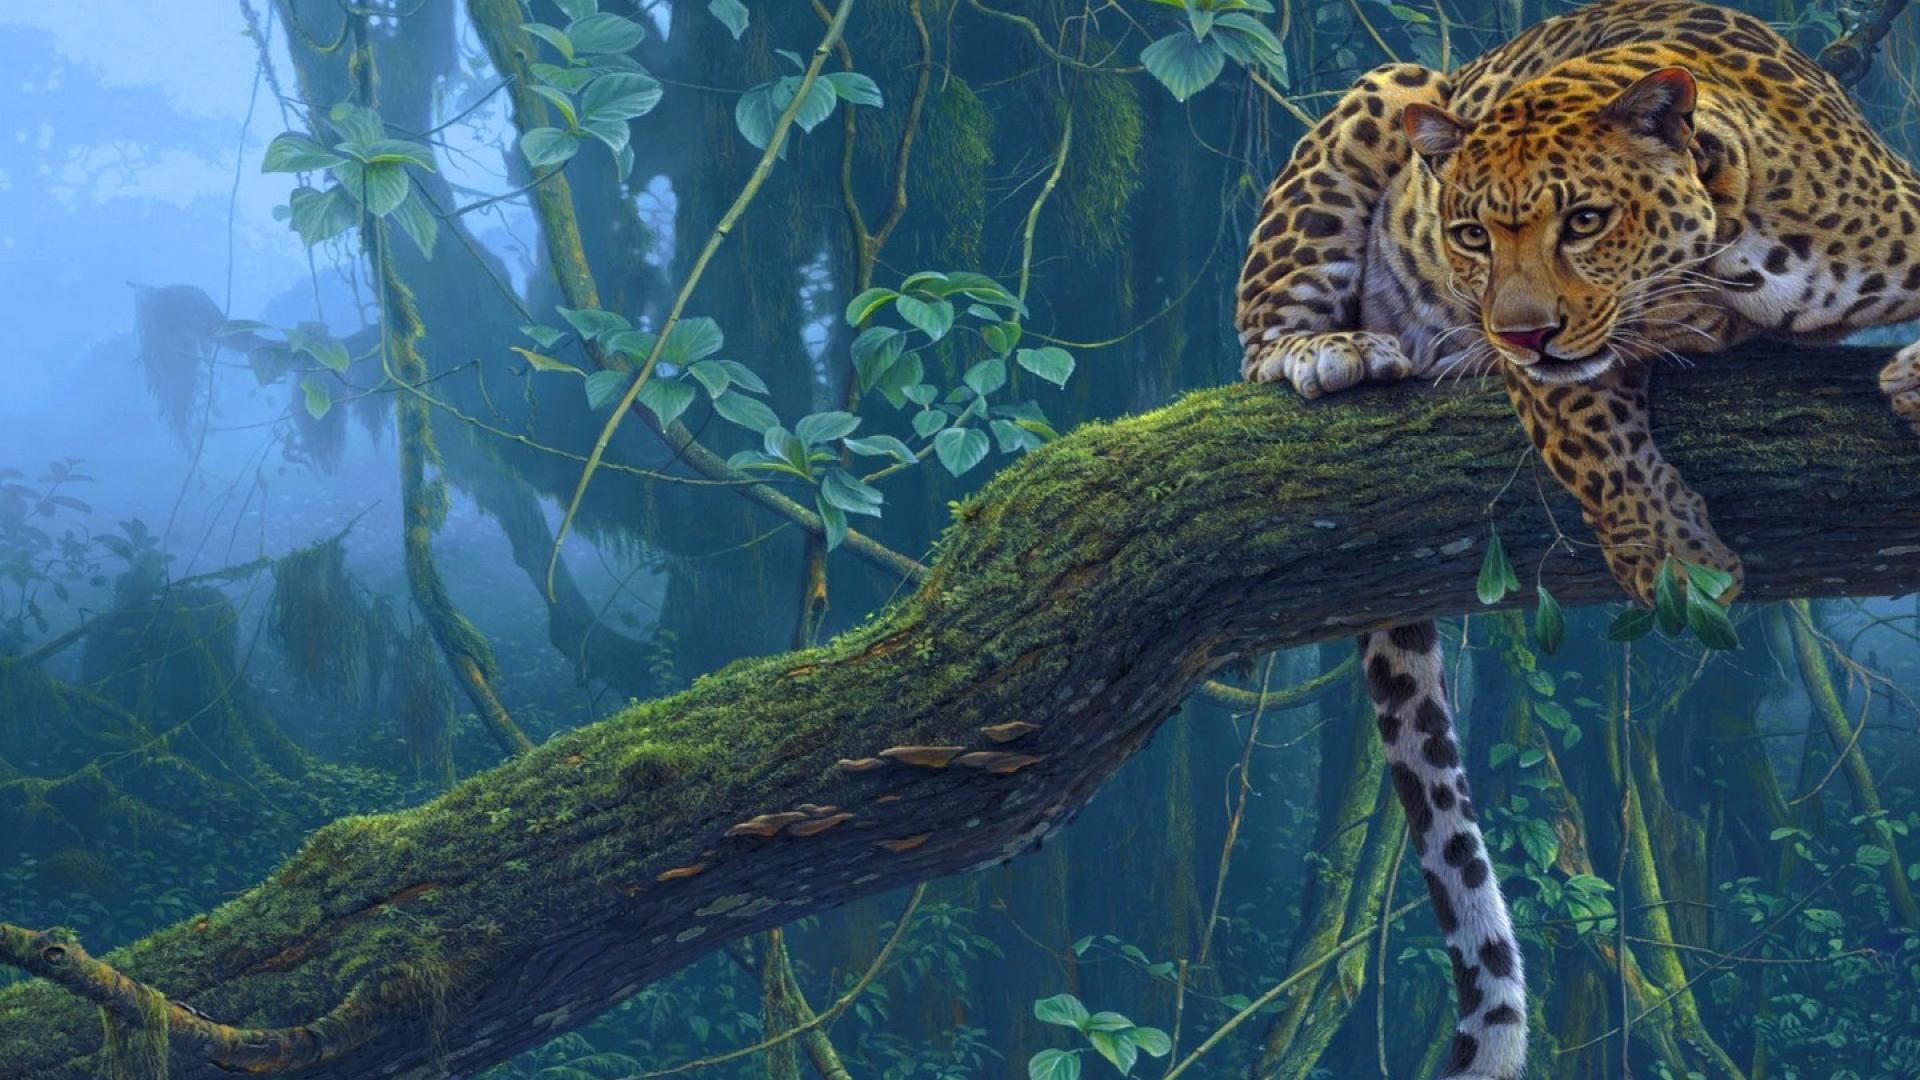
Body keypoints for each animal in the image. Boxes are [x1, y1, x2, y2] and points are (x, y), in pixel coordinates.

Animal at [1235, 3, 1920, 1077]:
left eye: (1586, 221)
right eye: (1469, 234)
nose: (1517, 335)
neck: (1734, 253)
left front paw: (1910, 379)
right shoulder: (1561, 379)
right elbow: (1596, 440)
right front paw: (1678, 564)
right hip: (1387, 88)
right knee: (1260, 334)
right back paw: (1329, 351)